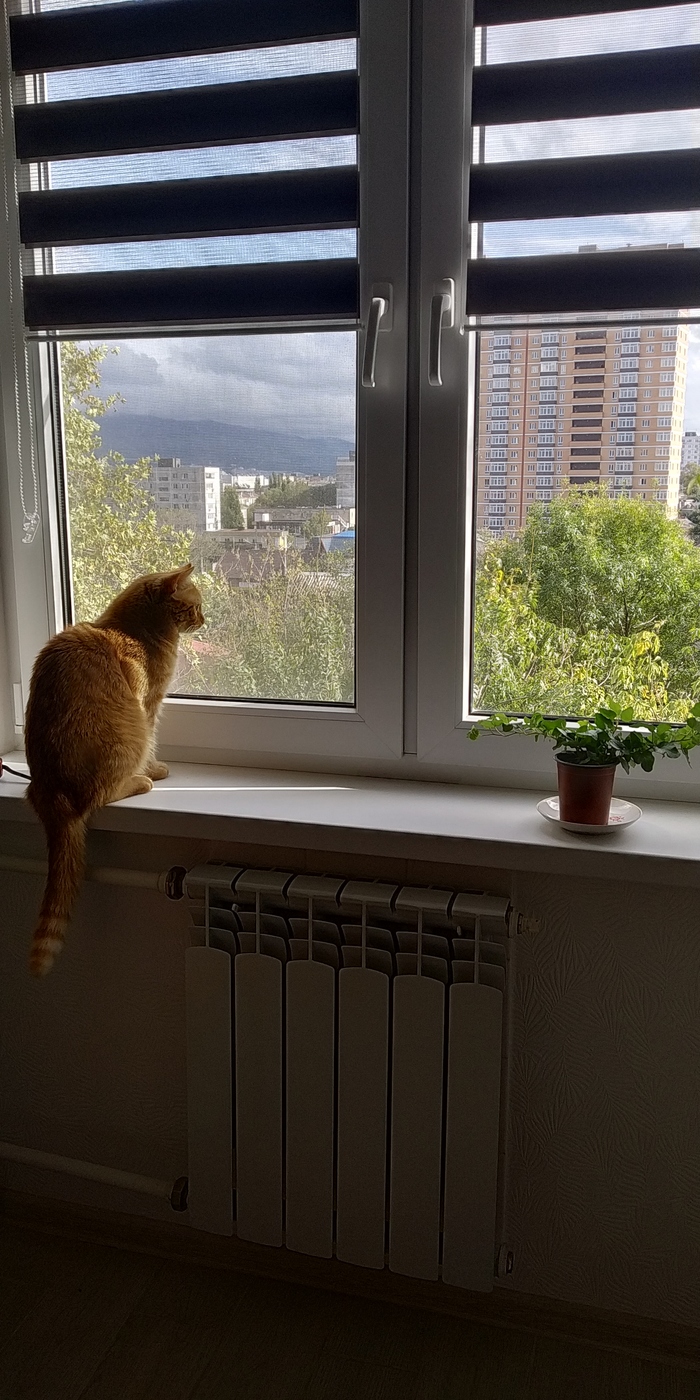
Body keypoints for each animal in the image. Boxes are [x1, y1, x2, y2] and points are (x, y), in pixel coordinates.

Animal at [24, 564, 204, 976]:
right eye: (195, 607)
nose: (206, 620)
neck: (133, 630)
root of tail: (49, 790)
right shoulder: (149, 705)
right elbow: (153, 740)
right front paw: (155, 769)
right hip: (128, 732)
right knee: (102, 794)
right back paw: (140, 781)